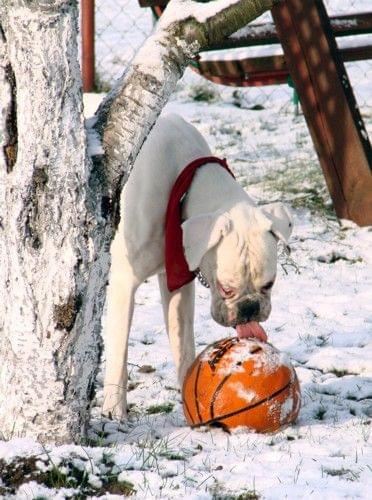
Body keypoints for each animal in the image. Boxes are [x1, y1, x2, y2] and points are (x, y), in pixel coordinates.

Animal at [102, 114, 294, 422]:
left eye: (269, 285)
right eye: (226, 288)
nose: (250, 308)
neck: (183, 183)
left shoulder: (177, 284)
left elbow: (183, 345)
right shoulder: (123, 283)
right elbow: (119, 352)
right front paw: (114, 410)